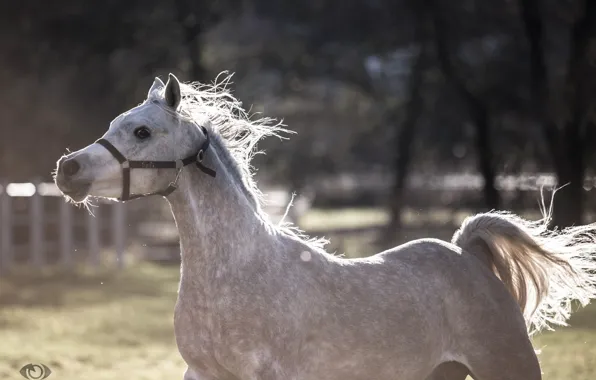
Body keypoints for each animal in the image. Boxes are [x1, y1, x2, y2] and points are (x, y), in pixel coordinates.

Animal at [52, 72, 596, 378]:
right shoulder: (202, 374)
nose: (66, 170)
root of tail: (466, 254)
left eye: (142, 131)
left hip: (508, 367)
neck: (236, 274)